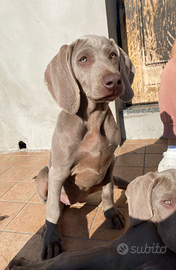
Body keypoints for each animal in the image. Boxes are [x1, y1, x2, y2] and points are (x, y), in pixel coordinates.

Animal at [35, 34, 135, 258]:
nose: (114, 80)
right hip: (44, 175)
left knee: (113, 183)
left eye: (113, 55)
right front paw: (52, 239)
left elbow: (108, 191)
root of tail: (77, 200)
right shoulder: (58, 171)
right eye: (83, 59)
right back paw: (47, 228)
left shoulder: (110, 162)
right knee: (54, 204)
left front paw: (111, 213)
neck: (94, 119)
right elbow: (52, 209)